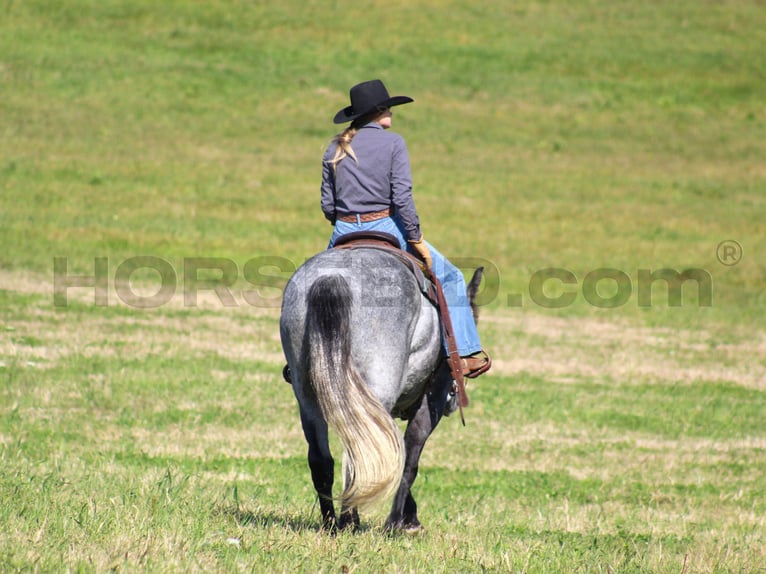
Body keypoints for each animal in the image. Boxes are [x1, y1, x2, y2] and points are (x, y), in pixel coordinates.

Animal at [280, 244, 486, 536]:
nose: (453, 401)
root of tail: (332, 278)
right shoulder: (430, 403)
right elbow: (409, 459)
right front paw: (398, 522)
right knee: (362, 456)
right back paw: (350, 522)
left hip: (308, 400)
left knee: (323, 460)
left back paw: (332, 523)